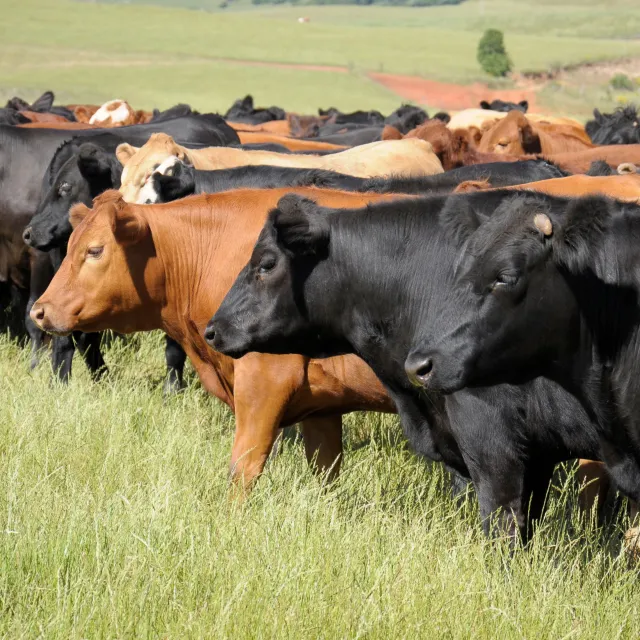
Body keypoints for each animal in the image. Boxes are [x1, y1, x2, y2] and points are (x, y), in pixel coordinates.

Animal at [30, 189, 412, 490]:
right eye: (70, 247)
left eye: (95, 250)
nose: (39, 311)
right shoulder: (322, 404)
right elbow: (325, 469)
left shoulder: (265, 382)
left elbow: (243, 468)